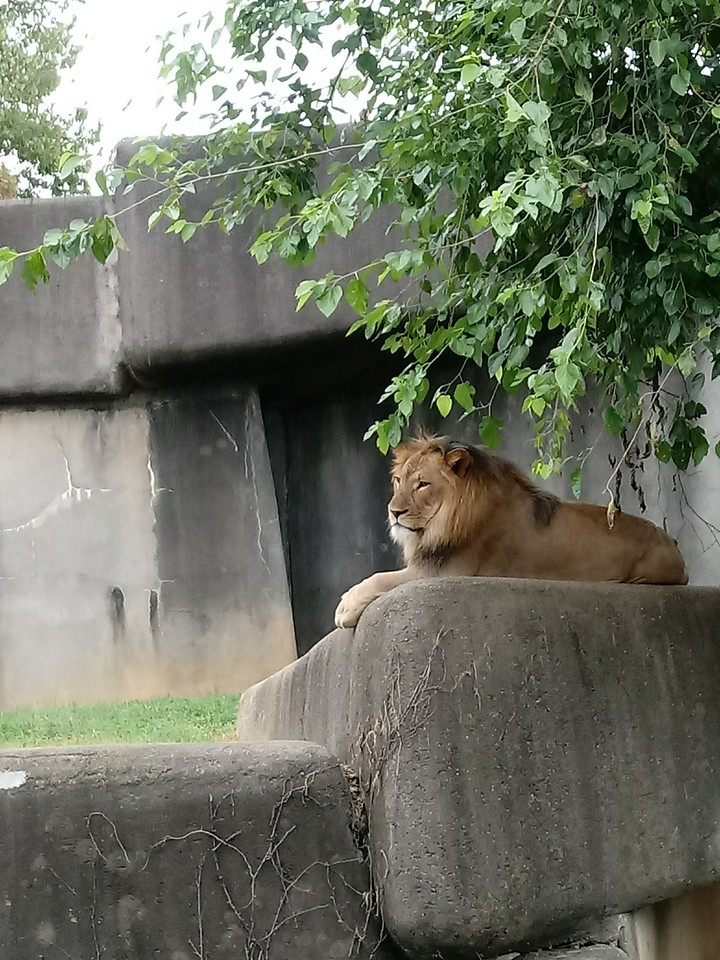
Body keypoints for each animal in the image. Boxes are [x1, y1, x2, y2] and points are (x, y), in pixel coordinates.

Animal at [334, 434, 688, 629]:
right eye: (398, 481)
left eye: (422, 484)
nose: (394, 512)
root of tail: (673, 541)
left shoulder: (445, 571)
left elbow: (381, 578)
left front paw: (345, 608)